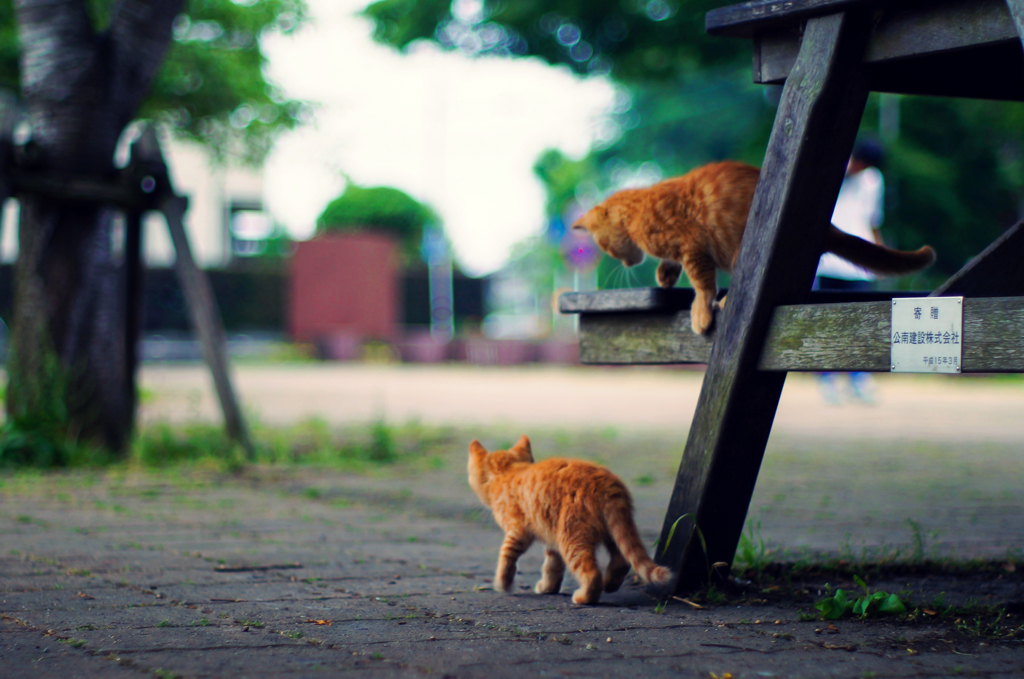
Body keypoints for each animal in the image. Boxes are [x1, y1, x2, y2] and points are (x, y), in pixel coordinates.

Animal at [466, 436, 671, 606]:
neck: (507, 473)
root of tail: (606, 484)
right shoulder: (552, 540)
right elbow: (552, 567)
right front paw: (548, 588)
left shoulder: (518, 532)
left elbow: (507, 560)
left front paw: (504, 585)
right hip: (613, 531)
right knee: (622, 560)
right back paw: (609, 584)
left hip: (572, 537)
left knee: (591, 573)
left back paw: (584, 598)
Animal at [569, 162, 937, 337]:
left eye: (604, 246)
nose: (623, 263)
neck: (639, 209)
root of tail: (827, 227)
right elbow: (676, 266)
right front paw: (665, 274)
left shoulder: (693, 244)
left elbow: (702, 283)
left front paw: (700, 311)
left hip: (742, 251)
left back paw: (729, 299)